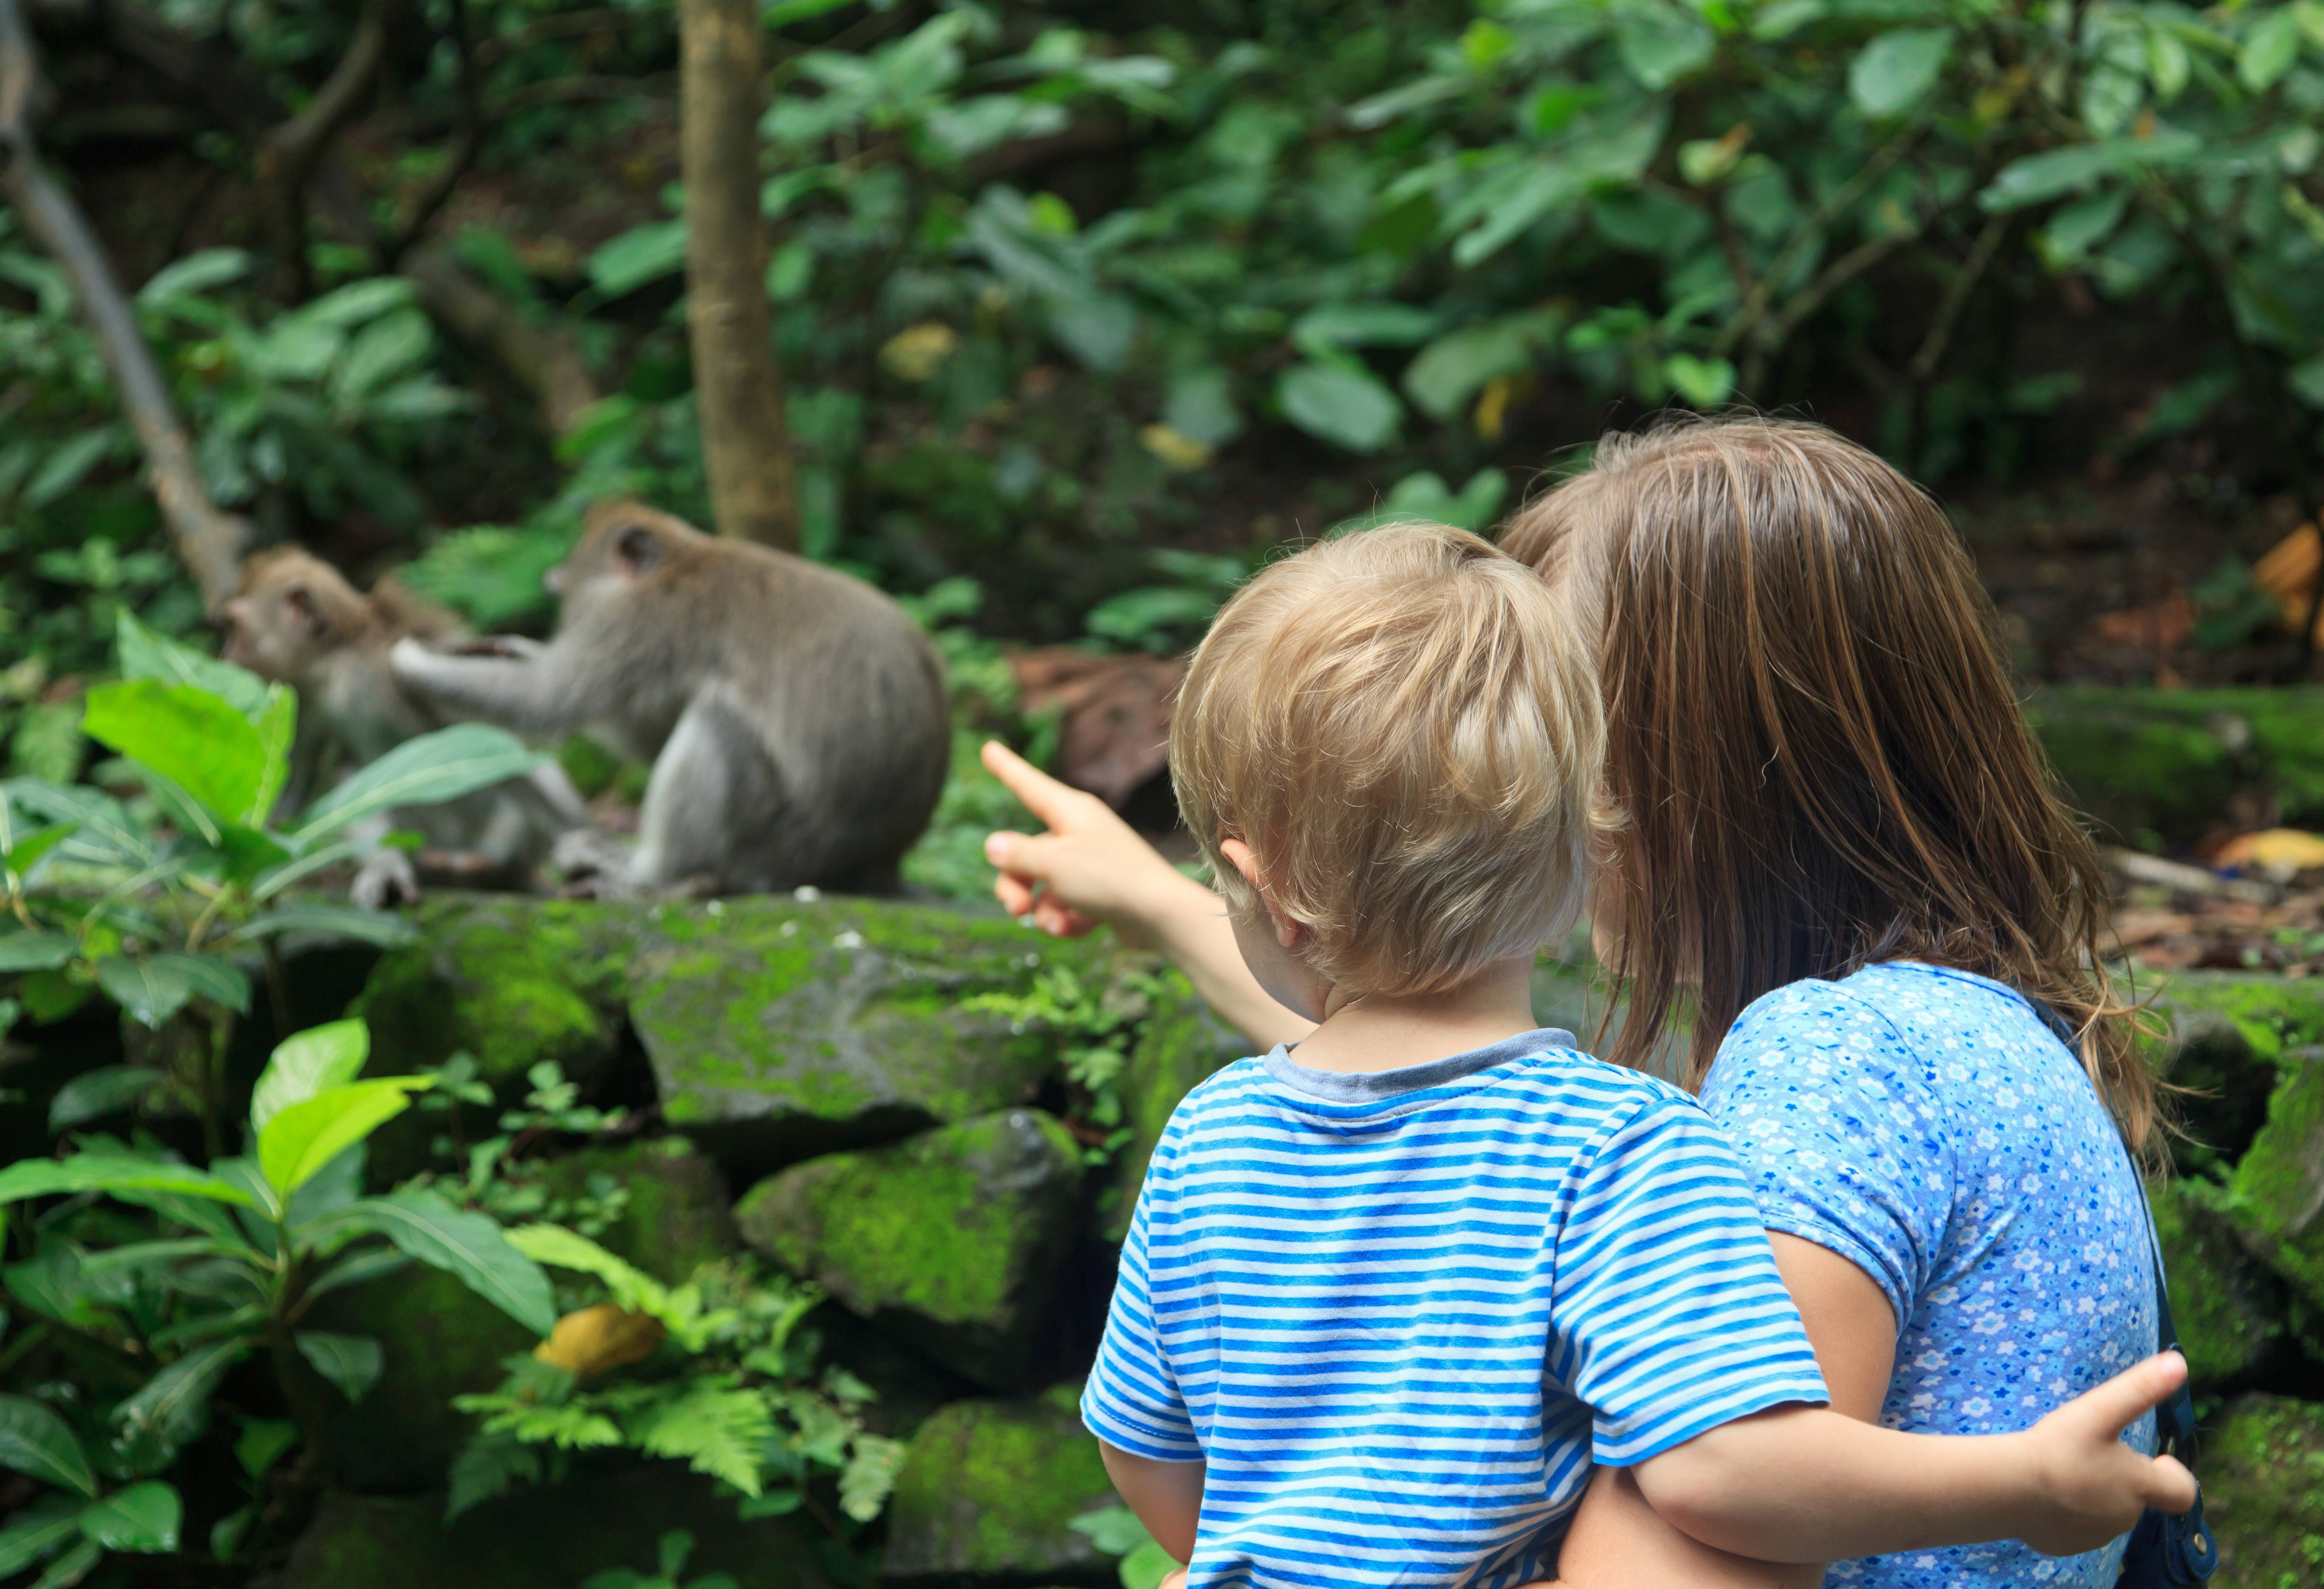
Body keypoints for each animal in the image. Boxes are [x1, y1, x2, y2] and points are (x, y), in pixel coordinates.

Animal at [219, 548, 587, 907]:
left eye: (237, 628)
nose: (225, 656)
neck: (334, 666)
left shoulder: (389, 663)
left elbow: (493, 735)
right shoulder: (306, 699)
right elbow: (298, 772)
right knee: (352, 775)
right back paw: (389, 867)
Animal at [386, 500, 952, 898]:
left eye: (566, 595)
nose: (562, 616)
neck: (682, 557)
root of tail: (877, 866)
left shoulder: (640, 623)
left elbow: (552, 699)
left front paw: (414, 661)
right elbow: (644, 734)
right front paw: (509, 647)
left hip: (780, 852)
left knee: (717, 723)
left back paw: (647, 874)